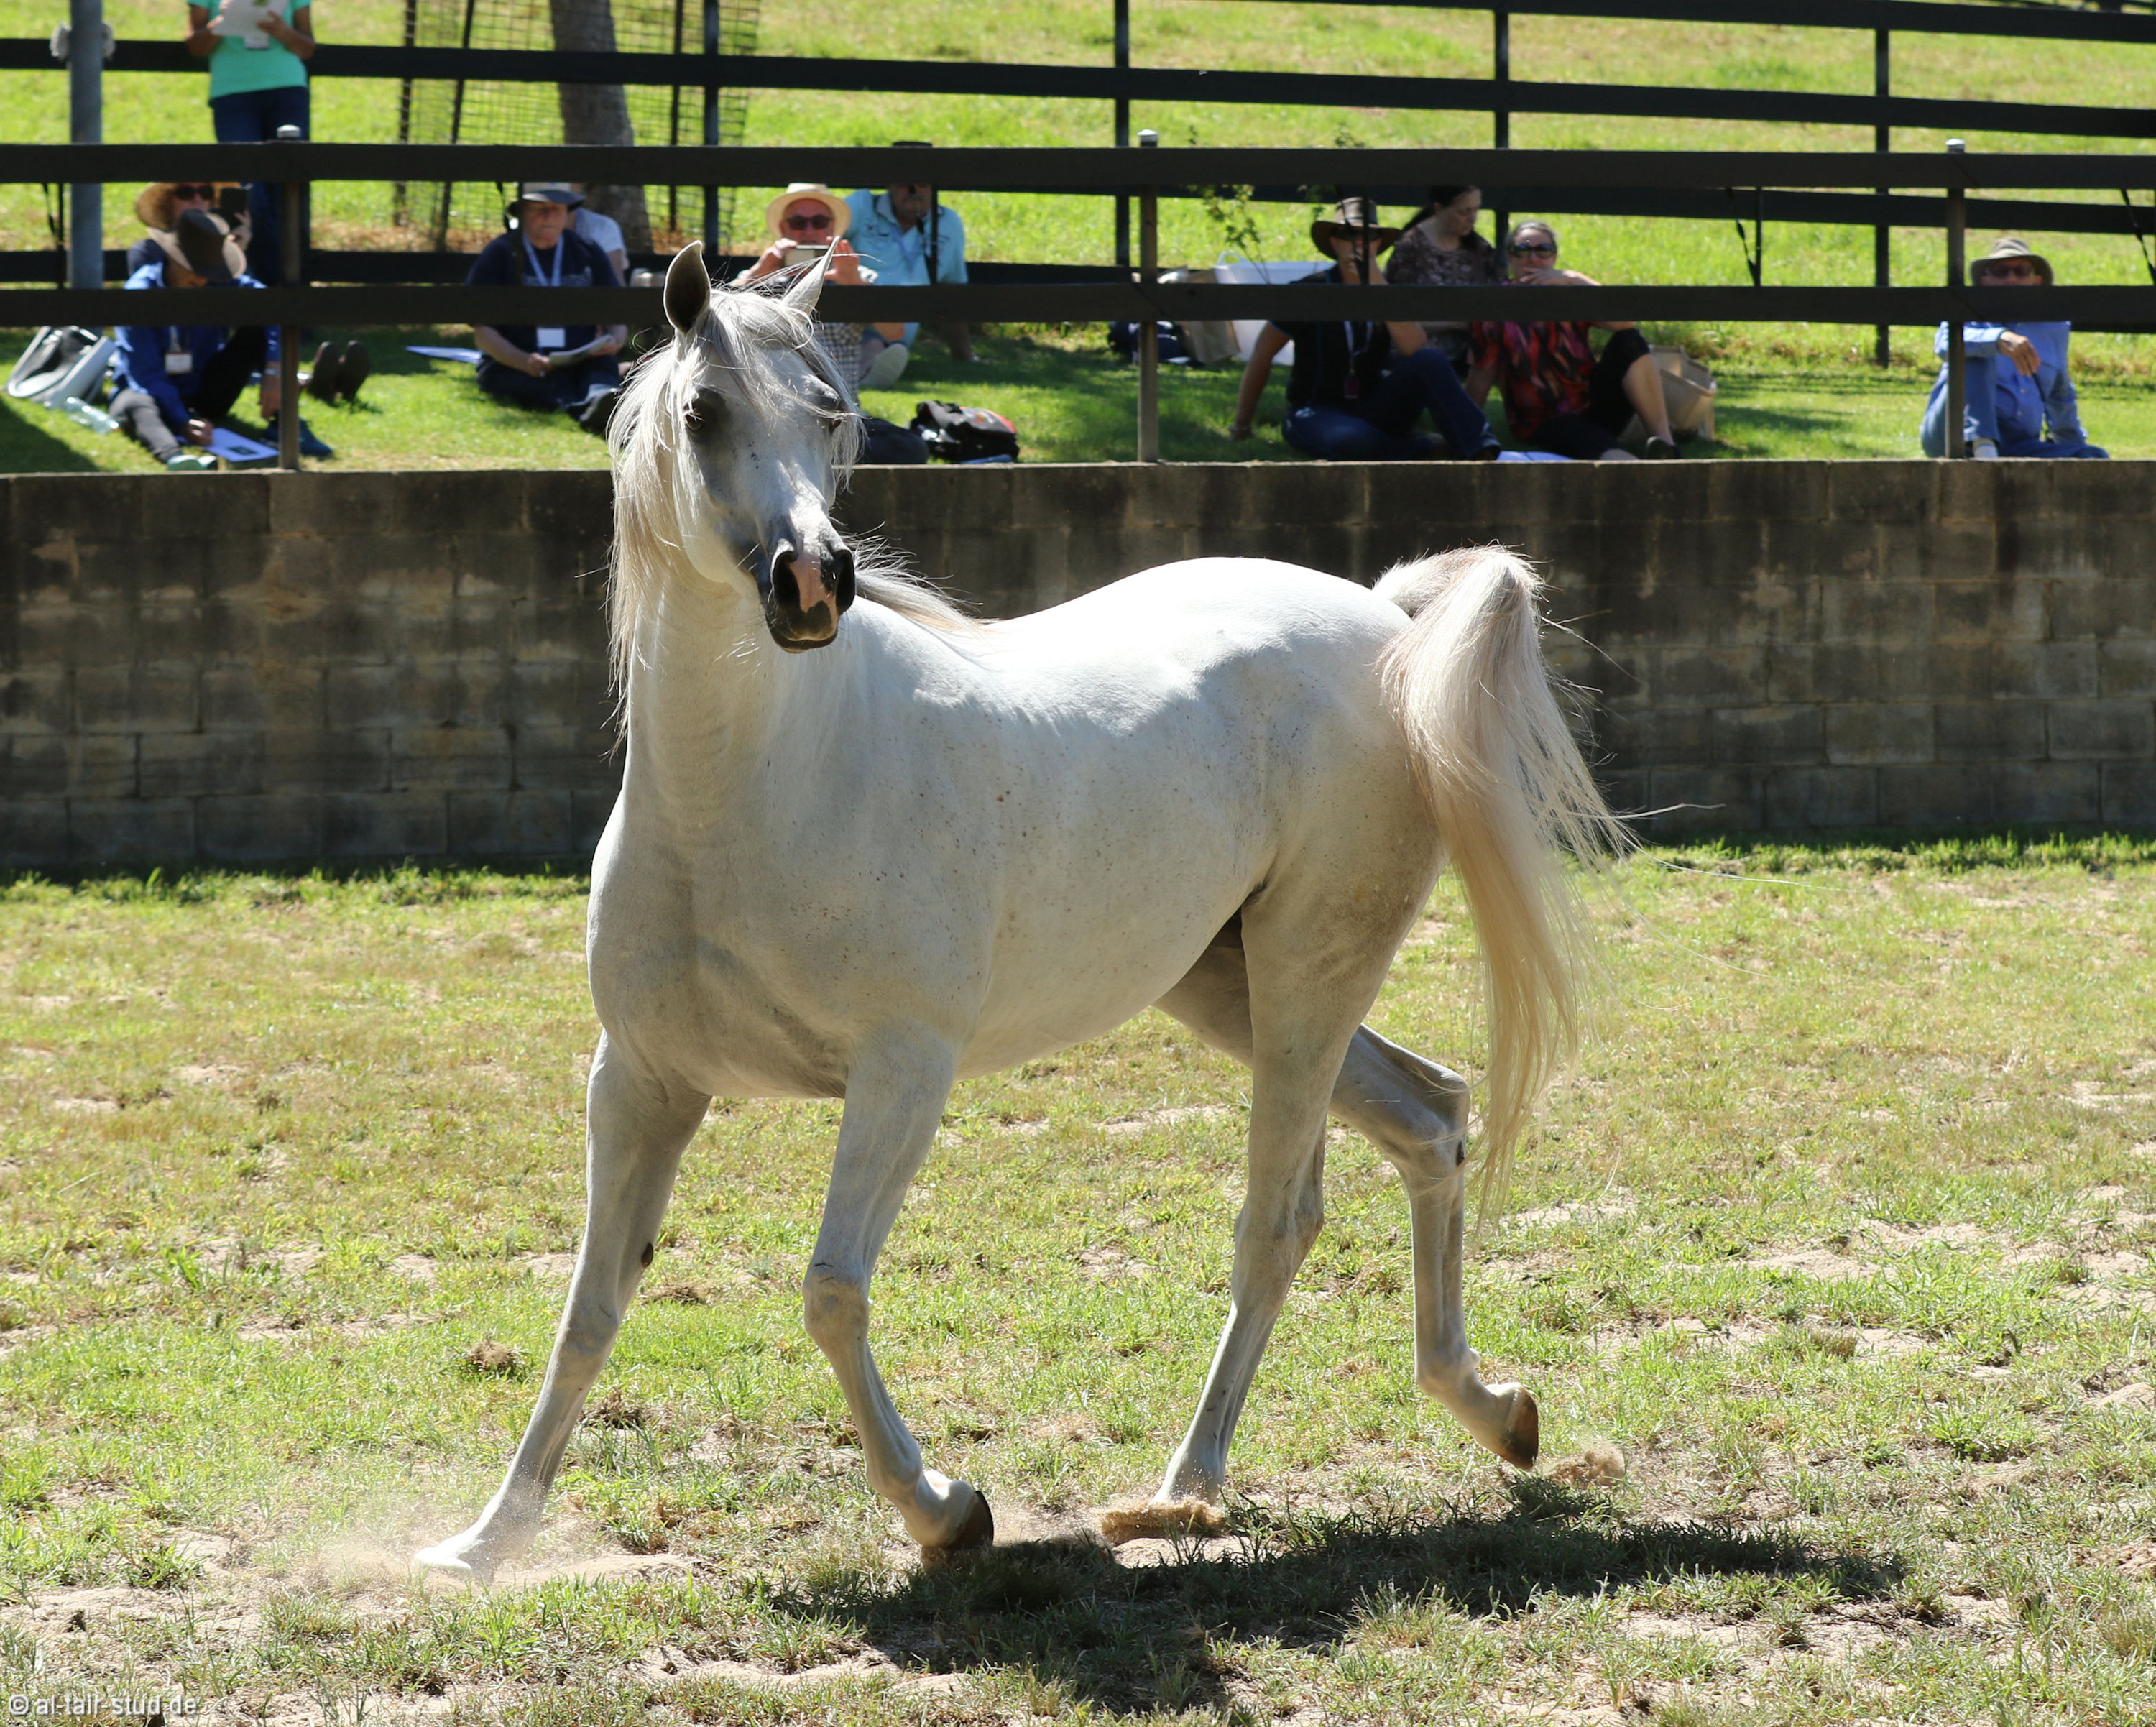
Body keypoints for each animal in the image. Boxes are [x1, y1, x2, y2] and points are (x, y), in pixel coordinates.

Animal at [414, 243, 1620, 1583]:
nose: (810, 581)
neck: (751, 788)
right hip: (1228, 982)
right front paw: (480, 1543)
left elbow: (832, 1288)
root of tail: (1389, 621)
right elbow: (589, 1306)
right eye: (703, 413)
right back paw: (1494, 1407)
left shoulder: (902, 1070)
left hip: (1311, 970)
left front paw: (946, 1508)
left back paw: (1184, 1490)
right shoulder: (640, 1079)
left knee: (1281, 1218)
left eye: (826, 413)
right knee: (1432, 1115)